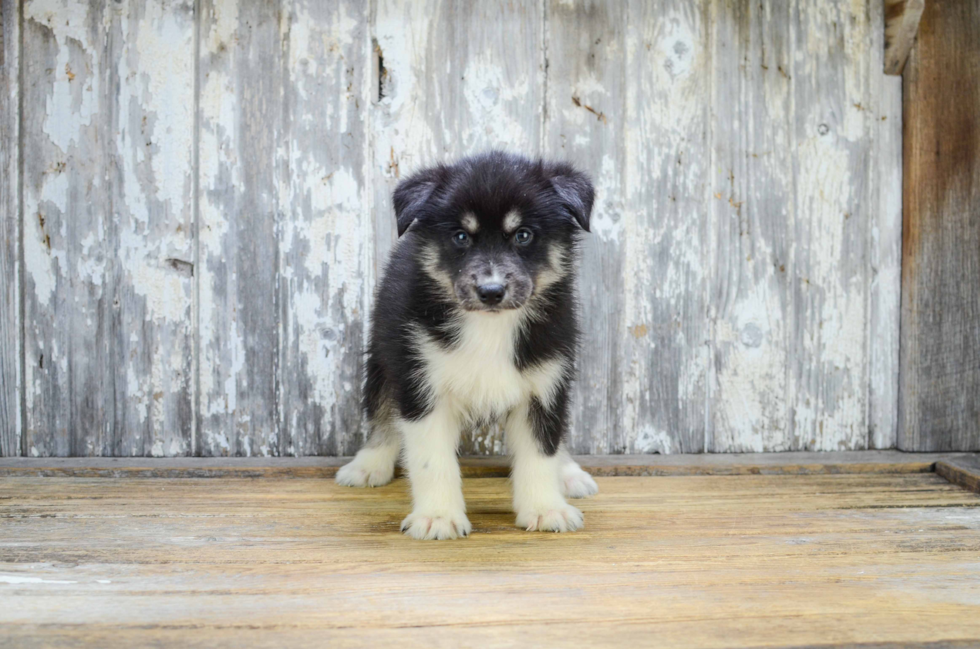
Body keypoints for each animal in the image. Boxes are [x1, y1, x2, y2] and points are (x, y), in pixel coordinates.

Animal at [336, 151, 596, 536]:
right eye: (460, 236)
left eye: (523, 235)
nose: (491, 291)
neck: (489, 326)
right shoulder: (421, 382)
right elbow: (432, 461)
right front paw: (438, 517)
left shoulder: (545, 380)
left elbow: (540, 452)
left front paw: (546, 509)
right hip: (384, 355)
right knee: (382, 411)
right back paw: (369, 464)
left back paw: (568, 473)